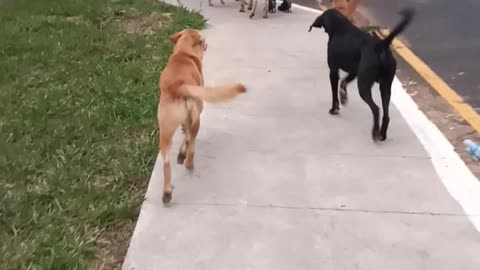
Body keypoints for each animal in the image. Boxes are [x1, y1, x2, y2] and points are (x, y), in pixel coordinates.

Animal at [158, 28, 248, 204]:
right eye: (203, 39)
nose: (207, 44)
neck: (184, 53)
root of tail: (179, 86)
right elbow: (187, 139)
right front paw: (183, 152)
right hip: (196, 120)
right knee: (191, 145)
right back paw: (188, 163)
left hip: (164, 131)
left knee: (166, 163)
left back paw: (167, 193)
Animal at [310, 7, 414, 141]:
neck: (340, 26)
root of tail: (381, 45)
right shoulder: (354, 72)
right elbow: (343, 82)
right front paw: (343, 97)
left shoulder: (333, 71)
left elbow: (334, 93)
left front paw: (334, 109)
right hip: (385, 87)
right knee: (386, 114)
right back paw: (382, 135)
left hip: (364, 86)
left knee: (376, 109)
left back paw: (375, 133)